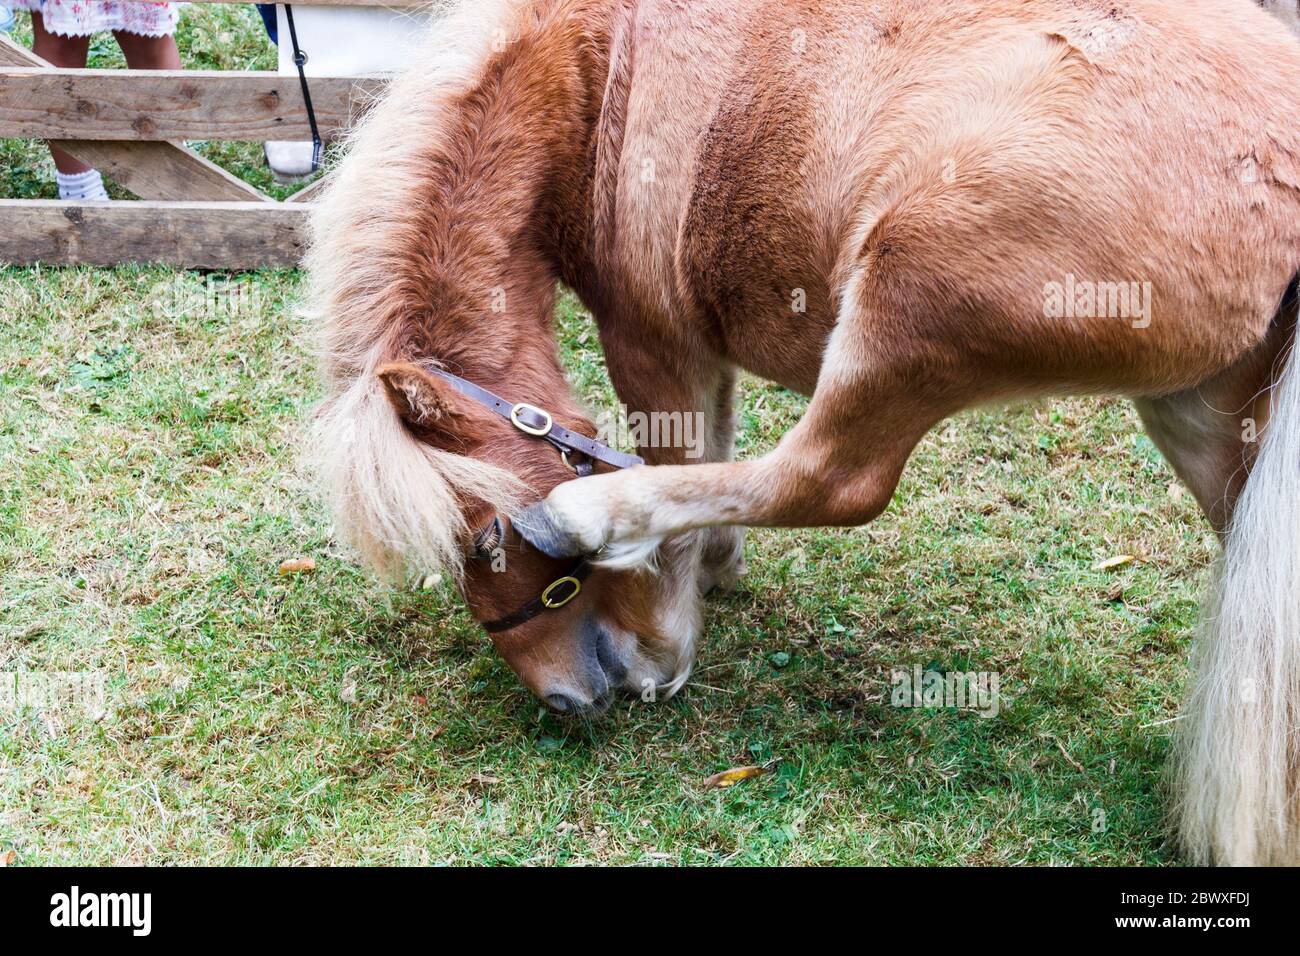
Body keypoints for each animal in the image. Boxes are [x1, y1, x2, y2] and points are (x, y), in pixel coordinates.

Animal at [306, 0, 1300, 865]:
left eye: (482, 539)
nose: (563, 701)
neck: (606, 67)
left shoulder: (653, 345)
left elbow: (686, 457)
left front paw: (658, 634)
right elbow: (714, 441)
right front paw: (713, 571)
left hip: (908, 301)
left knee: (832, 478)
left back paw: (592, 513)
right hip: (1200, 418)